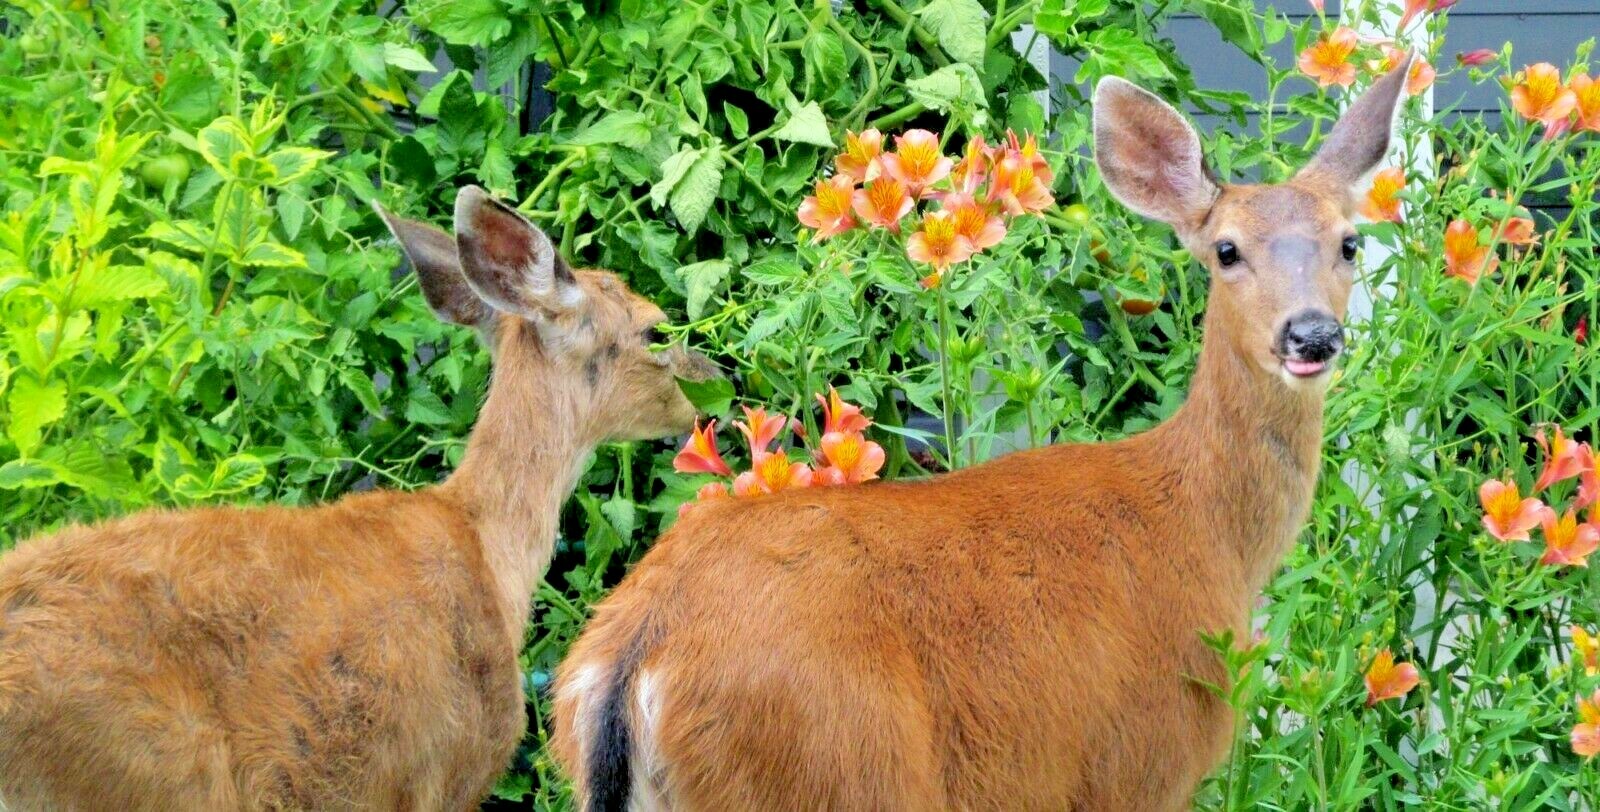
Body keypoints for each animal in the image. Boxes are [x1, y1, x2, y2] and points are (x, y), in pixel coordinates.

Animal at [549, 60, 1413, 811]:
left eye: (1349, 243)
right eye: (1227, 249)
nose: (1311, 334)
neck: (1210, 530)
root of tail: (636, 657)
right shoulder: (1141, 762)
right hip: (839, 771)